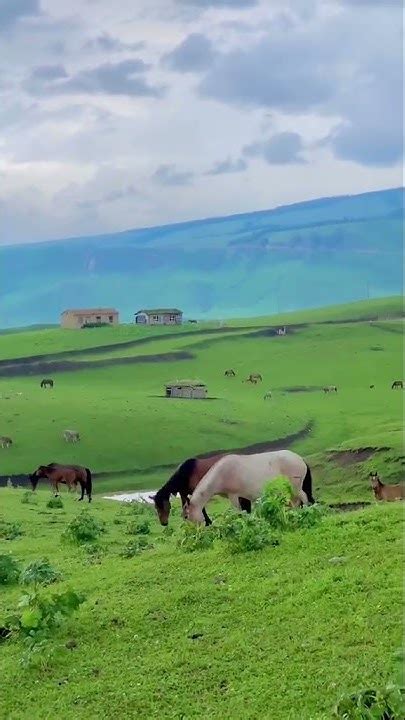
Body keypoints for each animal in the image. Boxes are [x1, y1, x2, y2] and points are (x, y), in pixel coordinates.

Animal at [185, 450, 314, 524]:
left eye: (186, 516)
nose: (197, 533)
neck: (221, 473)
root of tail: (301, 459)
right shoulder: (243, 496)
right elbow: (246, 511)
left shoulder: (233, 495)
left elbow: (238, 511)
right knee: (295, 502)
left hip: (295, 487)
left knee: (303, 497)